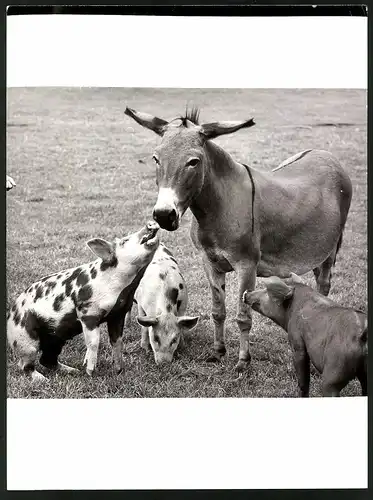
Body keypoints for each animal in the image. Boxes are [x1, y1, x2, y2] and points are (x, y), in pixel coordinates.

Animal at [6, 221, 159, 380]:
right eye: (125, 241)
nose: (150, 223)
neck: (125, 287)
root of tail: (10, 313)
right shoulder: (87, 312)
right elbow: (94, 342)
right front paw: (90, 371)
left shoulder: (118, 314)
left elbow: (117, 342)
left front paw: (119, 370)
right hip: (25, 338)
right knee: (25, 364)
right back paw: (42, 379)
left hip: (56, 338)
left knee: (47, 359)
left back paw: (72, 371)